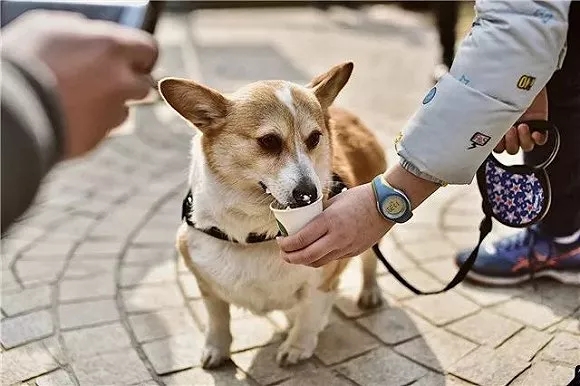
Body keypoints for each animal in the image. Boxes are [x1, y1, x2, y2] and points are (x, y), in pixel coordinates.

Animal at [156, 62, 388, 368]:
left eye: (314, 138)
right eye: (268, 141)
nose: (309, 194)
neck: (255, 233)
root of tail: (346, 113)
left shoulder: (322, 281)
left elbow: (309, 315)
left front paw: (298, 347)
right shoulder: (206, 285)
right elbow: (218, 319)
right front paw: (216, 349)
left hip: (369, 233)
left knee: (370, 262)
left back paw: (370, 292)